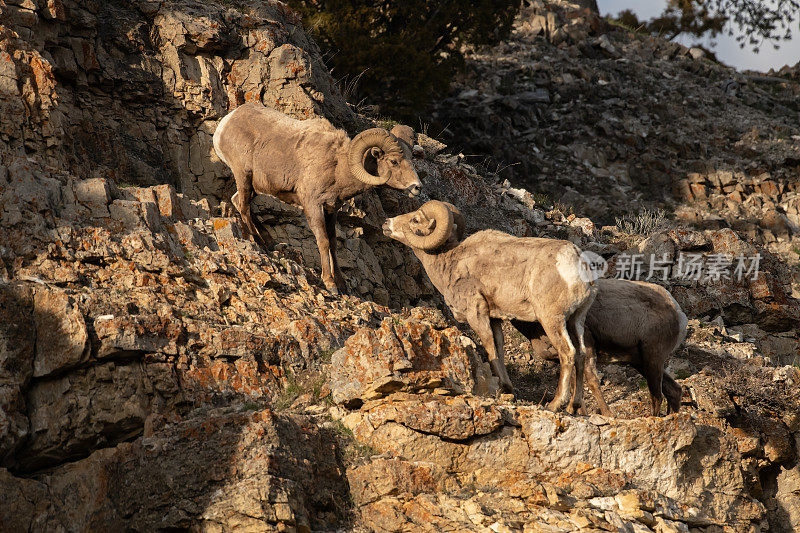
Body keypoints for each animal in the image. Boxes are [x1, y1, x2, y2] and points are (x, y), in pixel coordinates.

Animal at [212, 102, 424, 294]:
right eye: (394, 161)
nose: (417, 188)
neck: (338, 167)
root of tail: (225, 123)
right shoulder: (313, 205)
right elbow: (322, 241)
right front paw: (330, 284)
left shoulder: (331, 210)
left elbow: (333, 243)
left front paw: (342, 285)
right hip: (243, 175)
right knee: (244, 206)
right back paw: (259, 242)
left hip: (255, 186)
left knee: (239, 202)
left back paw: (271, 242)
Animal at [384, 200, 596, 412]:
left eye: (415, 219)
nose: (386, 223)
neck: (449, 261)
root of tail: (577, 262)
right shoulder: (495, 319)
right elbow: (499, 349)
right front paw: (508, 388)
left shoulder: (477, 315)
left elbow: (489, 348)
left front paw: (502, 390)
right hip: (576, 320)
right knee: (581, 355)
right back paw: (574, 406)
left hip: (552, 320)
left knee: (568, 353)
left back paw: (555, 404)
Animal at [512, 276, 688, 418]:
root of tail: (679, 314)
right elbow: (575, 384)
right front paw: (576, 411)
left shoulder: (587, 344)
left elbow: (591, 381)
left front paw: (607, 414)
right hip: (641, 362)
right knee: (673, 390)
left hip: (652, 358)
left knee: (657, 395)